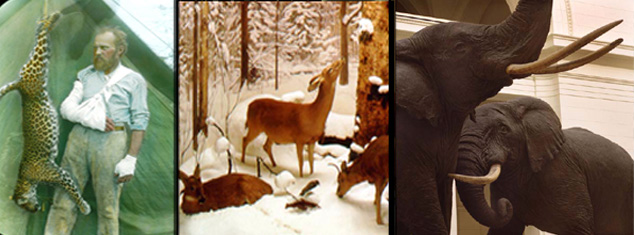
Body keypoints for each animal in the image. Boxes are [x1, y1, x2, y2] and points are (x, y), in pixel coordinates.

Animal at [0, 12, 90, 215]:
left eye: (24, 205)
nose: (34, 210)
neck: (25, 179)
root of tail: (19, 84)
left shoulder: (59, 174)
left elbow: (73, 190)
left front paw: (83, 206)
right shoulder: (58, 175)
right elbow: (68, 188)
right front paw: (82, 204)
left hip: (37, 69)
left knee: (40, 40)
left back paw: (51, 19)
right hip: (40, 70)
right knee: (40, 40)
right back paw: (50, 19)